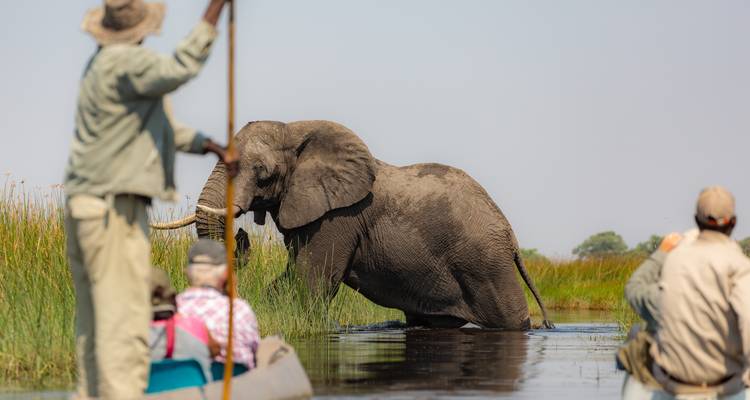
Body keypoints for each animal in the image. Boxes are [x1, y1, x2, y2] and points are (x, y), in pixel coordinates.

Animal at [153, 120, 552, 330]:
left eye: (262, 174)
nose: (241, 233)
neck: (296, 129)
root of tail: (510, 235)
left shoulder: (337, 218)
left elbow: (311, 282)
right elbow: (288, 279)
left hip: (486, 264)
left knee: (510, 319)